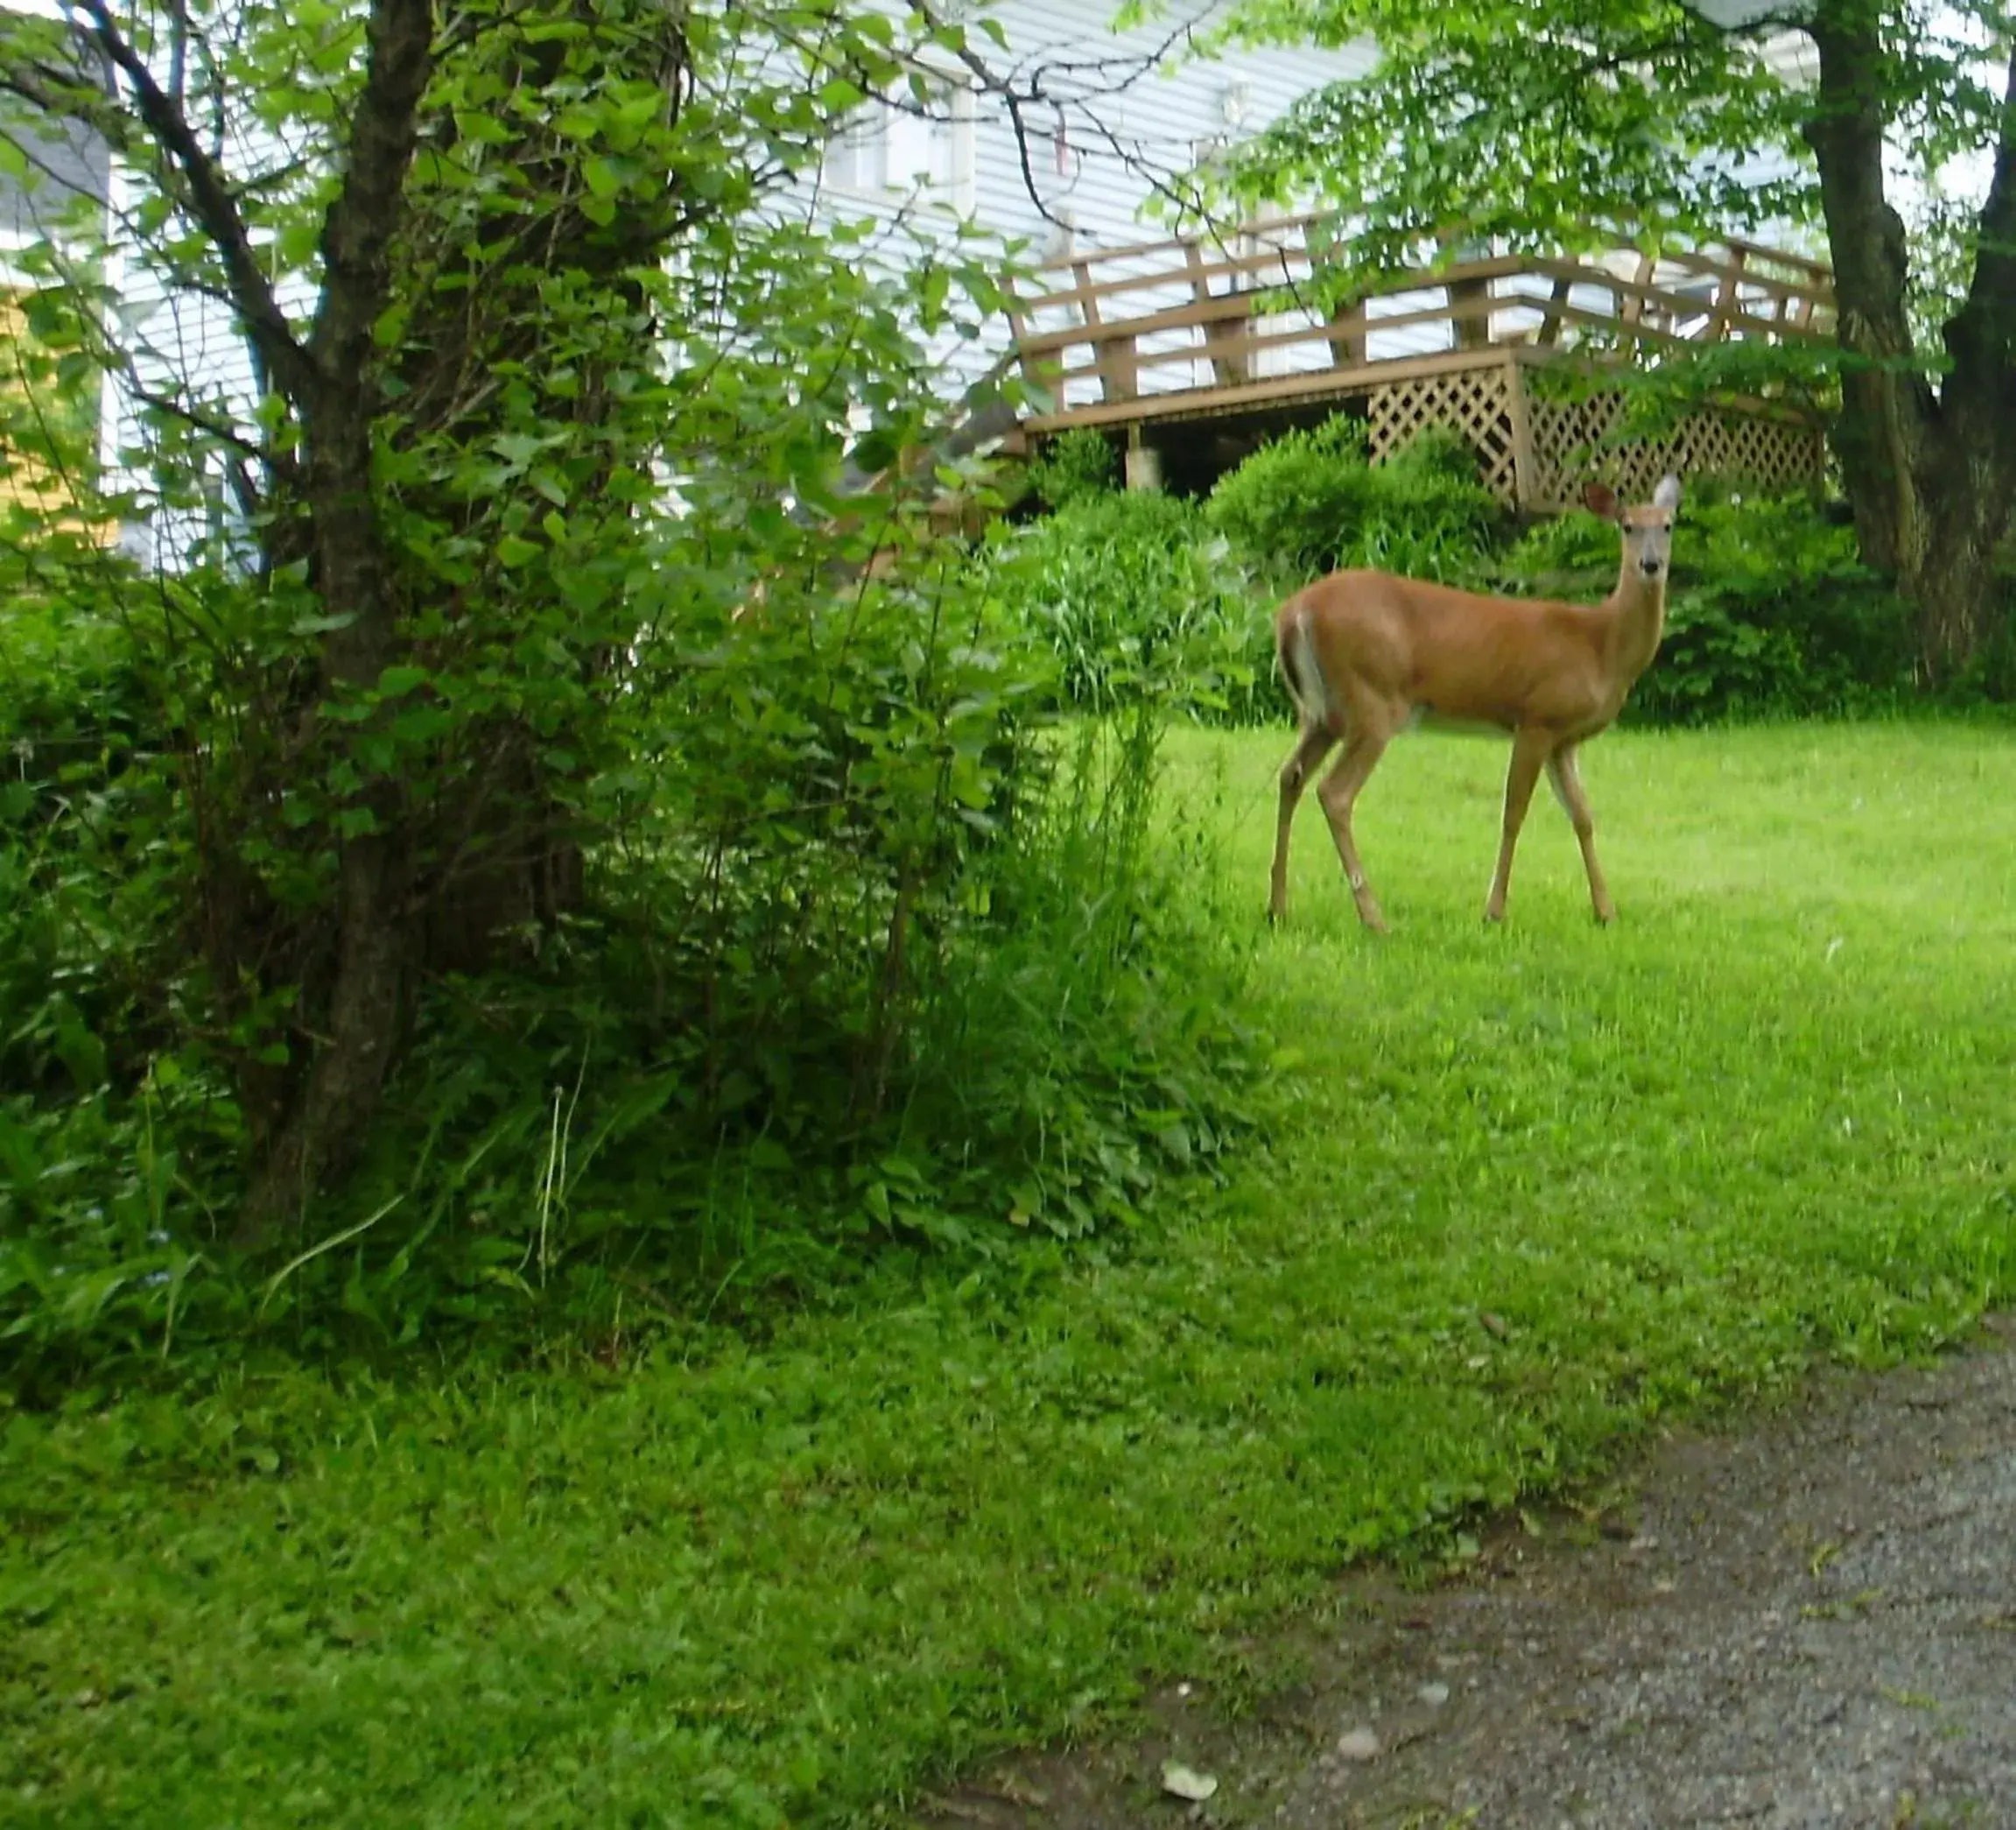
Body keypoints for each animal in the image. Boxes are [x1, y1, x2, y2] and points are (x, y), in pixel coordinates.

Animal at [1274, 471, 1685, 931]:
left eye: (1668, 525)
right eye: (1626, 525)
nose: (1650, 564)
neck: (1601, 646)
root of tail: (1294, 612)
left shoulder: (1564, 740)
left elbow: (1583, 816)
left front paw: (1605, 911)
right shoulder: (1538, 717)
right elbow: (1514, 813)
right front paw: (1494, 910)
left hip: (1321, 714)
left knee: (1290, 776)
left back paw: (1278, 906)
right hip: (1371, 700)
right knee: (1334, 793)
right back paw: (1374, 917)